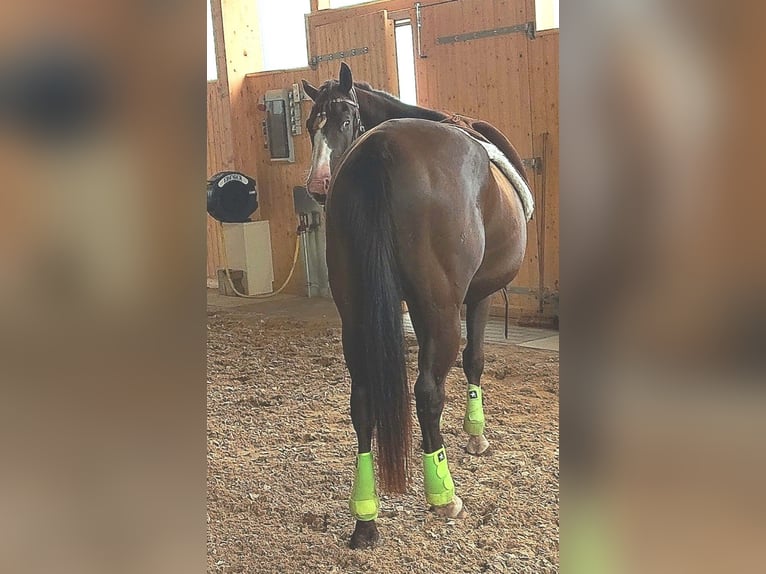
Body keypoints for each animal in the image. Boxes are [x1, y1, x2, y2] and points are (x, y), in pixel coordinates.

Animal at [301, 62, 533, 549]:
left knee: (362, 400)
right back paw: (443, 496)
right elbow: (474, 360)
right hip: (442, 312)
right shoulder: (476, 296)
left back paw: (365, 518)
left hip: (356, 318)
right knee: (427, 392)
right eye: (312, 125)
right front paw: (475, 436)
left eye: (342, 121)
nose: (317, 185)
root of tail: (382, 149)